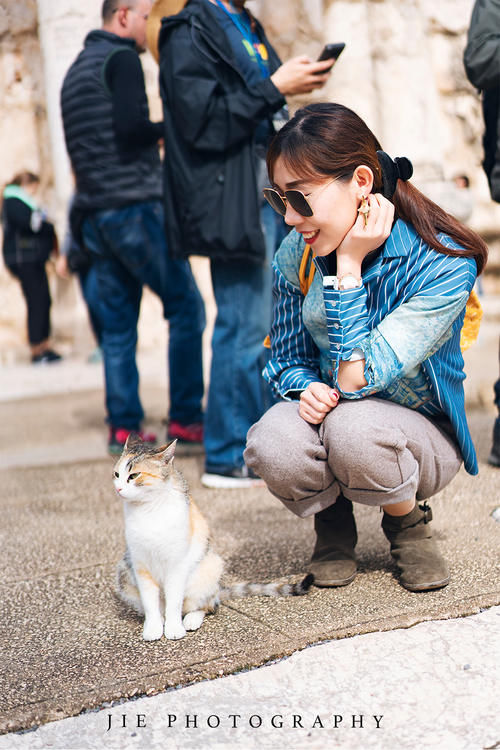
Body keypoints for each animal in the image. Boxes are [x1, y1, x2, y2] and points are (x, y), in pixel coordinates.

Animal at [113, 438, 312, 644]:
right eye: (117, 474)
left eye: (134, 475)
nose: (118, 488)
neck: (148, 510)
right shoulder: (140, 565)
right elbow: (150, 602)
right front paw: (153, 628)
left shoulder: (177, 565)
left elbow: (174, 601)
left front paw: (174, 628)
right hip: (124, 572)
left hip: (210, 567)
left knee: (206, 605)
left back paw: (191, 619)